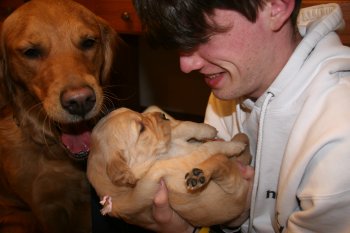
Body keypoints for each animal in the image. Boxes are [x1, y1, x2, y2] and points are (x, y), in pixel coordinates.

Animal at [87, 107, 252, 228]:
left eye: (139, 113)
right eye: (141, 129)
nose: (163, 115)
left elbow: (183, 127)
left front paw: (207, 129)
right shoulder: (179, 166)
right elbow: (208, 147)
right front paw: (230, 146)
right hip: (230, 184)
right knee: (220, 162)